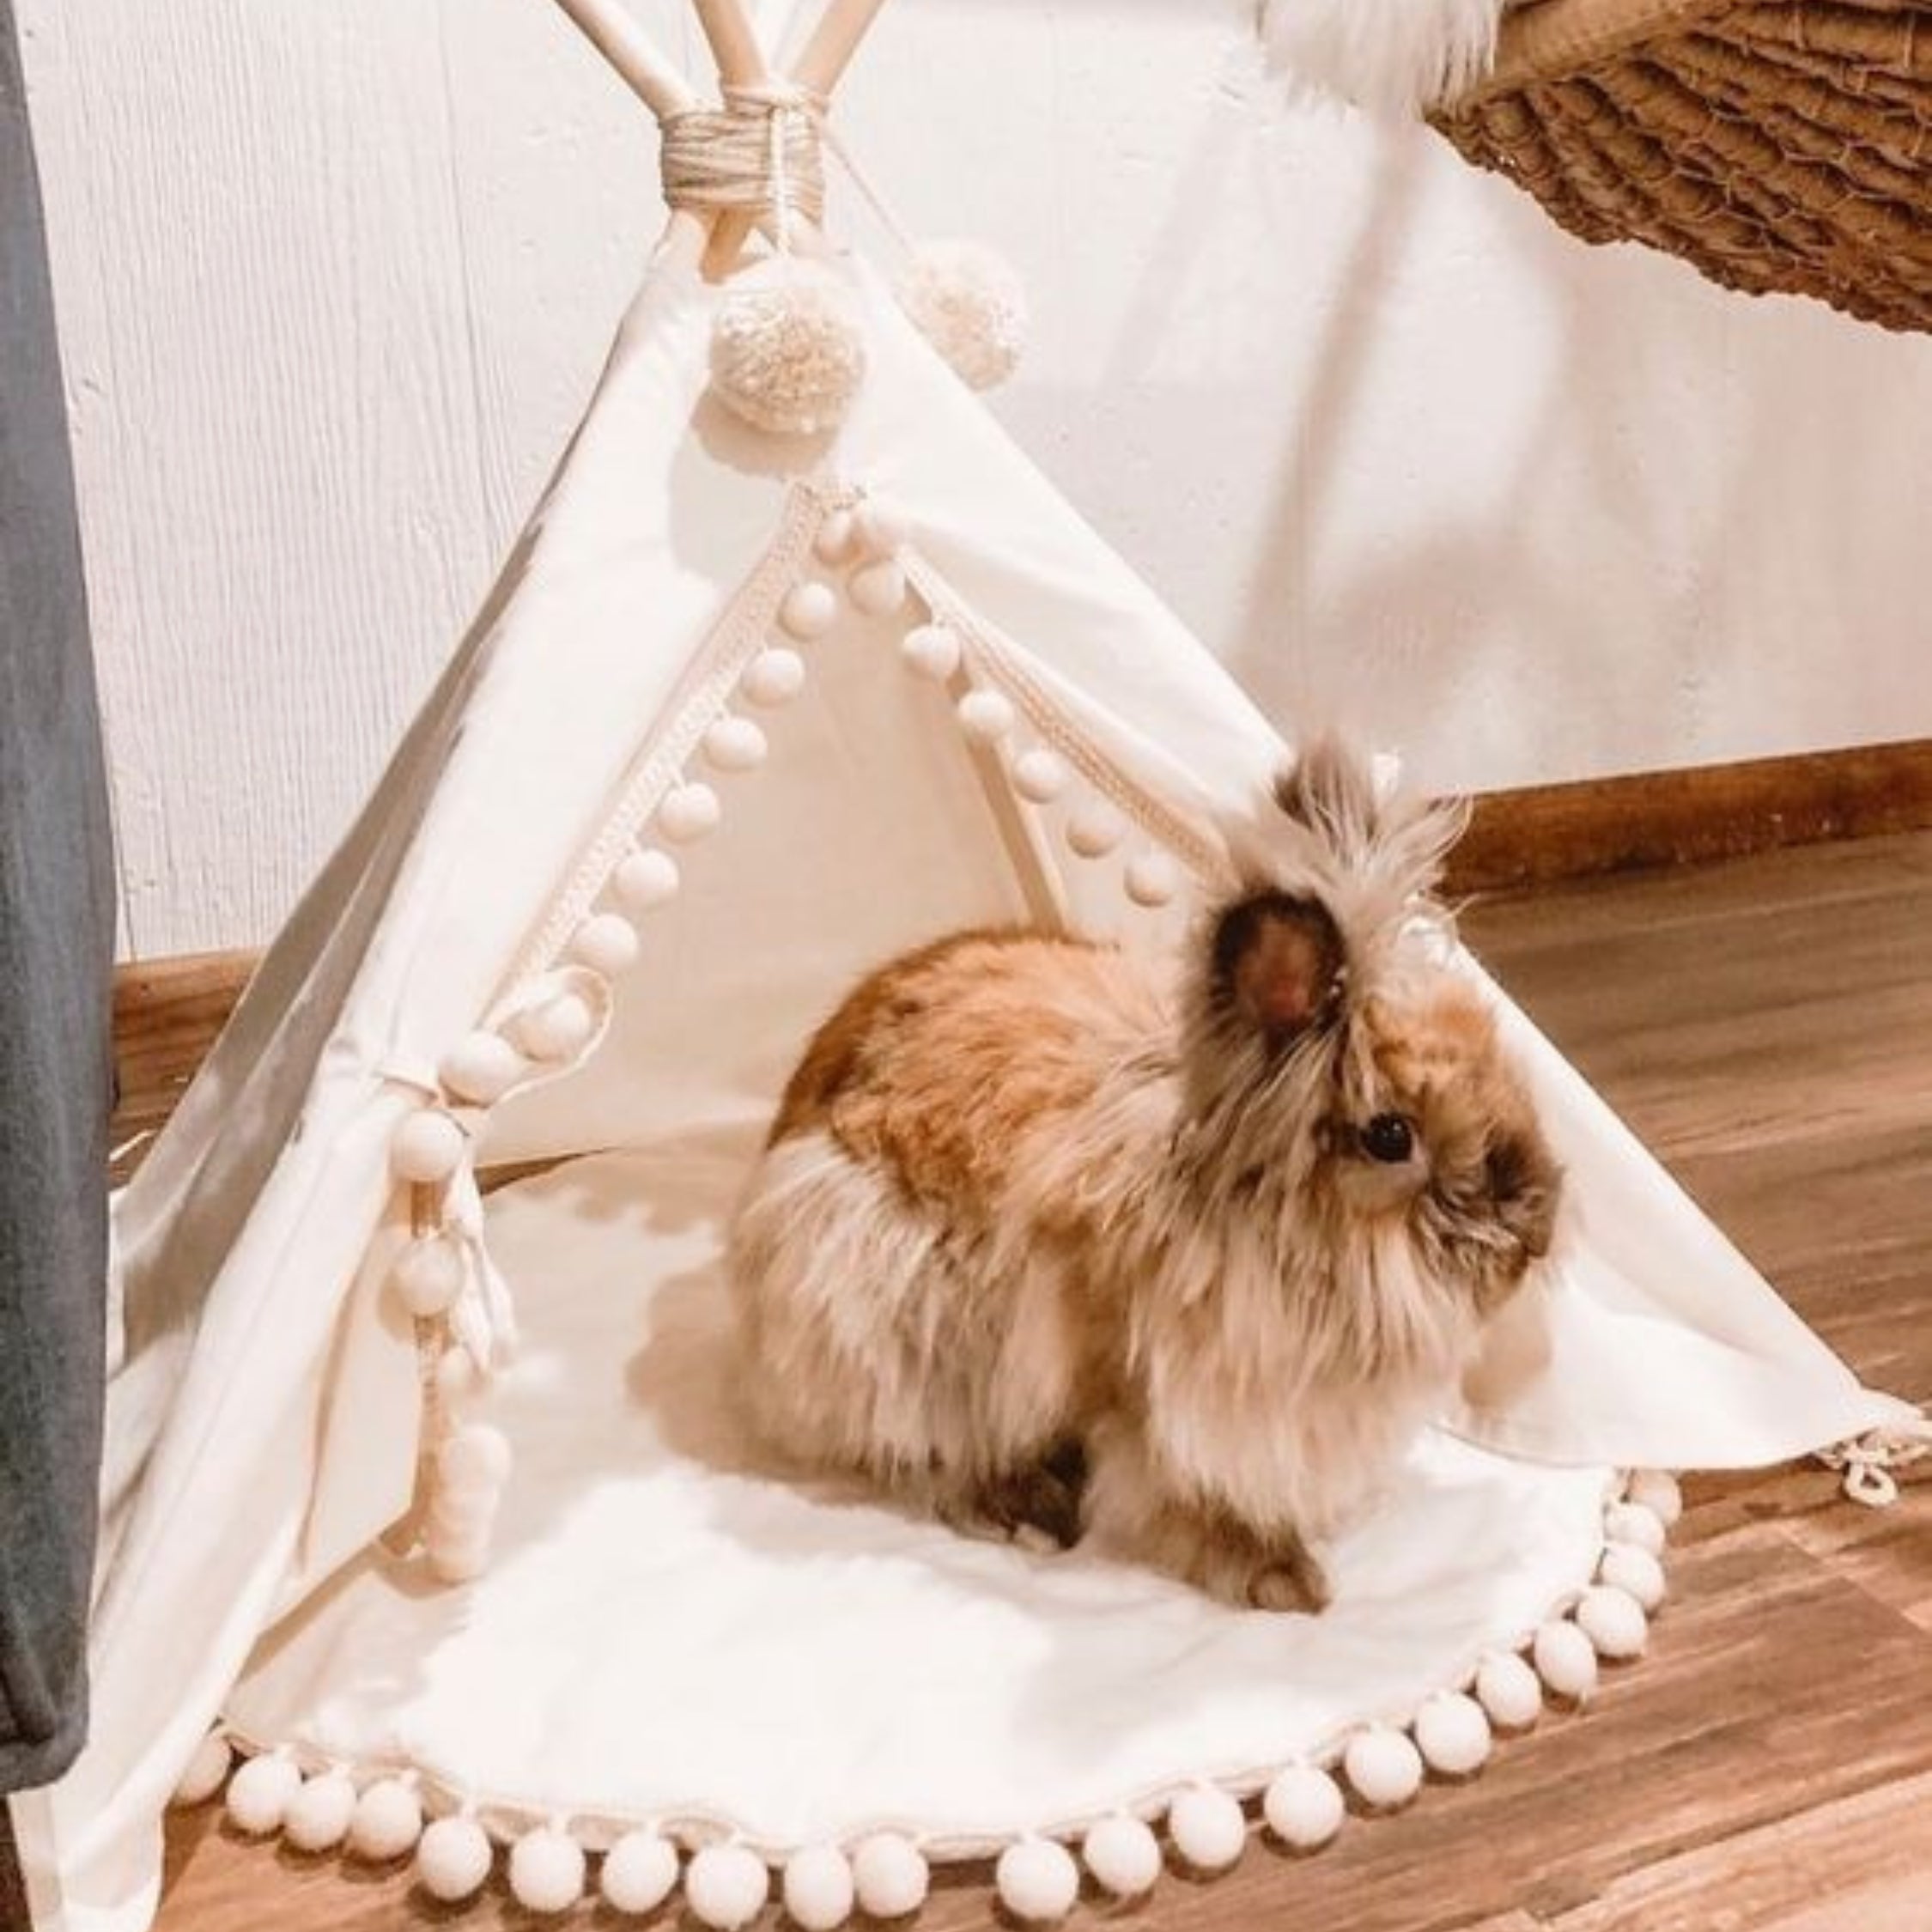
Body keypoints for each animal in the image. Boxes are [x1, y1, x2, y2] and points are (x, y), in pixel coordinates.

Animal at [726, 737, 1562, 1612]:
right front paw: (1283, 1579)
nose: (1534, 1234)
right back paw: (1020, 1504)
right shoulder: (1144, 1400)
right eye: (1390, 1136)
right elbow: (1175, 1487)